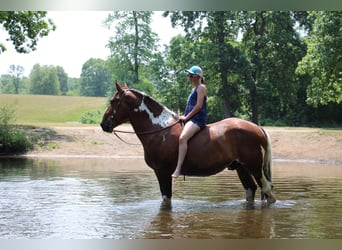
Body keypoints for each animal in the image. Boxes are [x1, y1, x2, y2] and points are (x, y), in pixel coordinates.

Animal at [101, 81, 276, 206]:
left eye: (113, 101)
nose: (103, 124)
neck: (159, 130)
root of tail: (257, 128)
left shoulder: (162, 172)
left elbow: (166, 199)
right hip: (242, 168)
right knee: (251, 190)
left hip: (254, 167)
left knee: (267, 191)